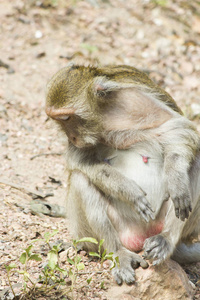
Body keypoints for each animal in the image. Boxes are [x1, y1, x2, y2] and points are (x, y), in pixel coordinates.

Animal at [45, 64, 200, 284]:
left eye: (67, 118)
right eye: (58, 120)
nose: (72, 137)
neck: (103, 117)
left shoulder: (134, 99)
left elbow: (176, 127)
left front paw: (177, 181)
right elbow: (81, 161)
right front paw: (129, 192)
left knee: (195, 162)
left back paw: (166, 239)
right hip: (91, 235)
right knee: (80, 179)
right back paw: (119, 252)